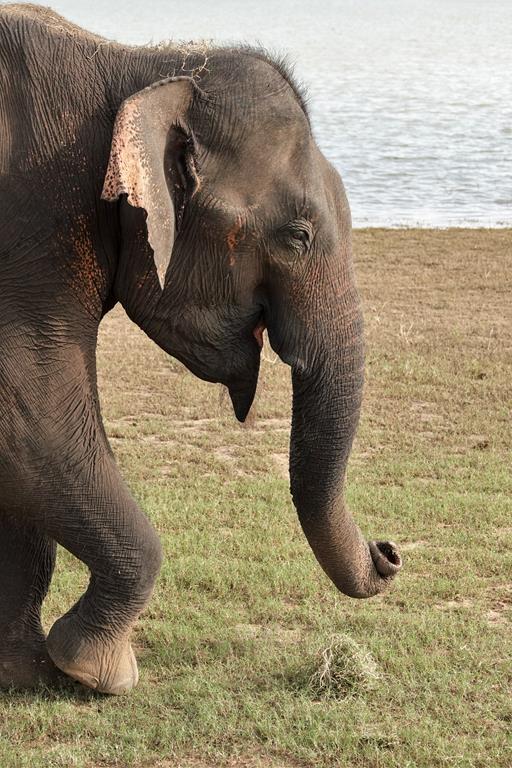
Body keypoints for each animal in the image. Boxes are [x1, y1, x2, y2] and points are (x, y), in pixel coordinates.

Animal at [0, 3, 400, 696]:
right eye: (298, 235)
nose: (389, 553)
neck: (140, 67)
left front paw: (28, 676)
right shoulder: (32, 217)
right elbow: (31, 413)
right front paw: (97, 672)